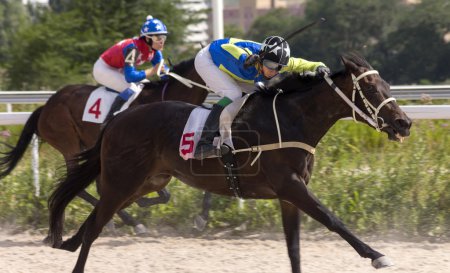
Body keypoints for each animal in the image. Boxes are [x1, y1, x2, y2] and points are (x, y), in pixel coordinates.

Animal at [46, 52, 412, 270]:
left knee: (95, 220)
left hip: (145, 182)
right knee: (94, 227)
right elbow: (333, 220)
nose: (404, 123)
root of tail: (116, 120)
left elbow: (294, 248)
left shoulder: (289, 195)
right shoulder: (290, 186)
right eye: (372, 90)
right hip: (123, 181)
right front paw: (378, 255)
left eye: (386, 84)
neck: (291, 120)